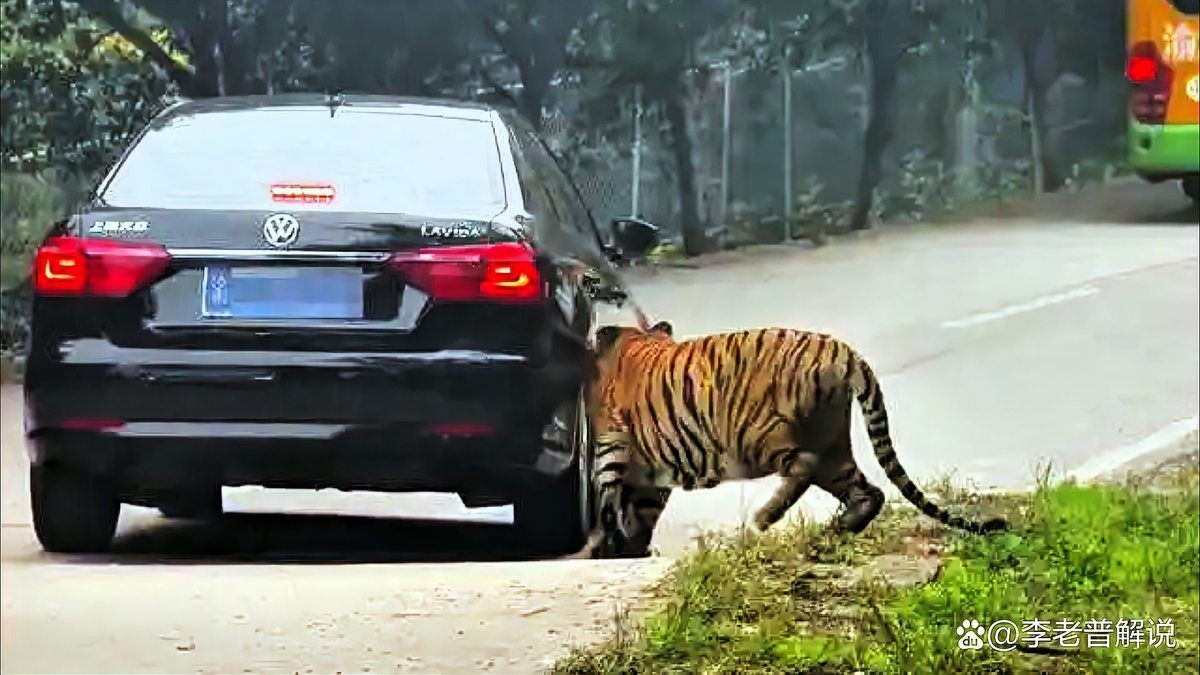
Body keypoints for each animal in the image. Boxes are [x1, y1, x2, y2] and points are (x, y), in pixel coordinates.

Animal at [573, 321, 1007, 559]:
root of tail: (845, 352)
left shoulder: (613, 447)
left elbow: (608, 499)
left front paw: (605, 548)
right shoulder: (648, 474)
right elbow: (633, 514)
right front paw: (628, 547)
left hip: (753, 435)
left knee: (803, 465)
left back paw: (764, 518)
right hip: (834, 446)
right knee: (869, 492)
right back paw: (834, 531)